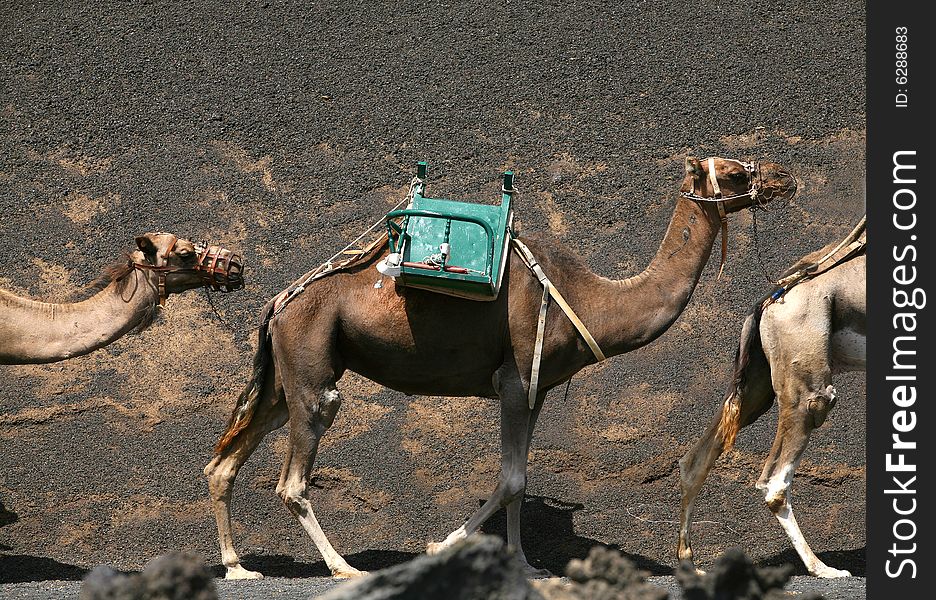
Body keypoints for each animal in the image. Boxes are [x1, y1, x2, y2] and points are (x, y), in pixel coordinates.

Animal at [205, 154, 796, 576]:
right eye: (736, 170)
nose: (785, 177)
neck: (591, 301)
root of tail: (278, 301)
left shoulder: (536, 387)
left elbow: (522, 478)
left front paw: (522, 562)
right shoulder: (512, 380)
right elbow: (511, 478)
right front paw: (440, 543)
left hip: (287, 374)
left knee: (227, 458)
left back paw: (238, 568)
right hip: (310, 363)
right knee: (294, 475)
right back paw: (342, 568)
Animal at [676, 219, 868, 576]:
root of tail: (768, 301)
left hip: (757, 388)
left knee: (696, 460)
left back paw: (690, 563)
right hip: (809, 390)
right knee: (774, 484)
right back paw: (823, 569)